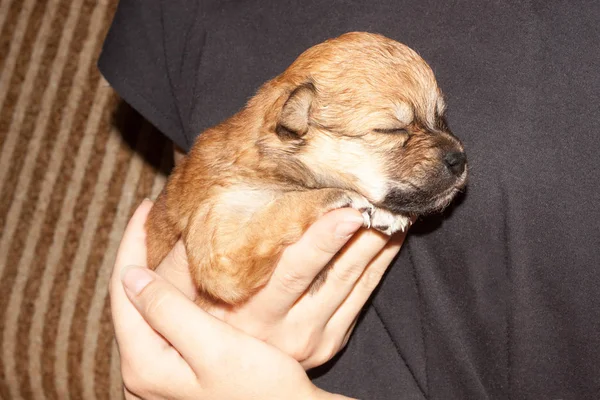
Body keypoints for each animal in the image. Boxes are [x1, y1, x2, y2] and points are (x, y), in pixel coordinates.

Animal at [145, 32, 468, 306]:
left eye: (440, 118)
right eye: (391, 130)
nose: (460, 159)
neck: (277, 160)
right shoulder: (221, 251)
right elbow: (284, 206)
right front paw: (353, 199)